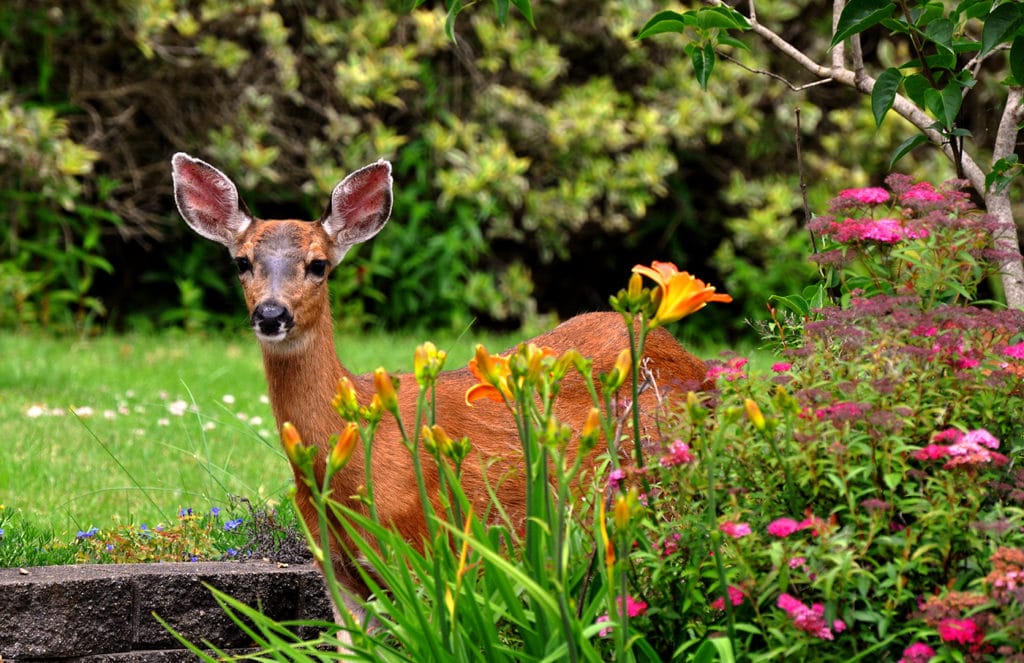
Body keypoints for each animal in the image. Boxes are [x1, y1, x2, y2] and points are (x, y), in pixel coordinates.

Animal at [169, 152, 712, 639]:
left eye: (318, 265)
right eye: (242, 262)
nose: (271, 313)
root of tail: (694, 362)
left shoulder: (425, 545)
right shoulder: (338, 572)